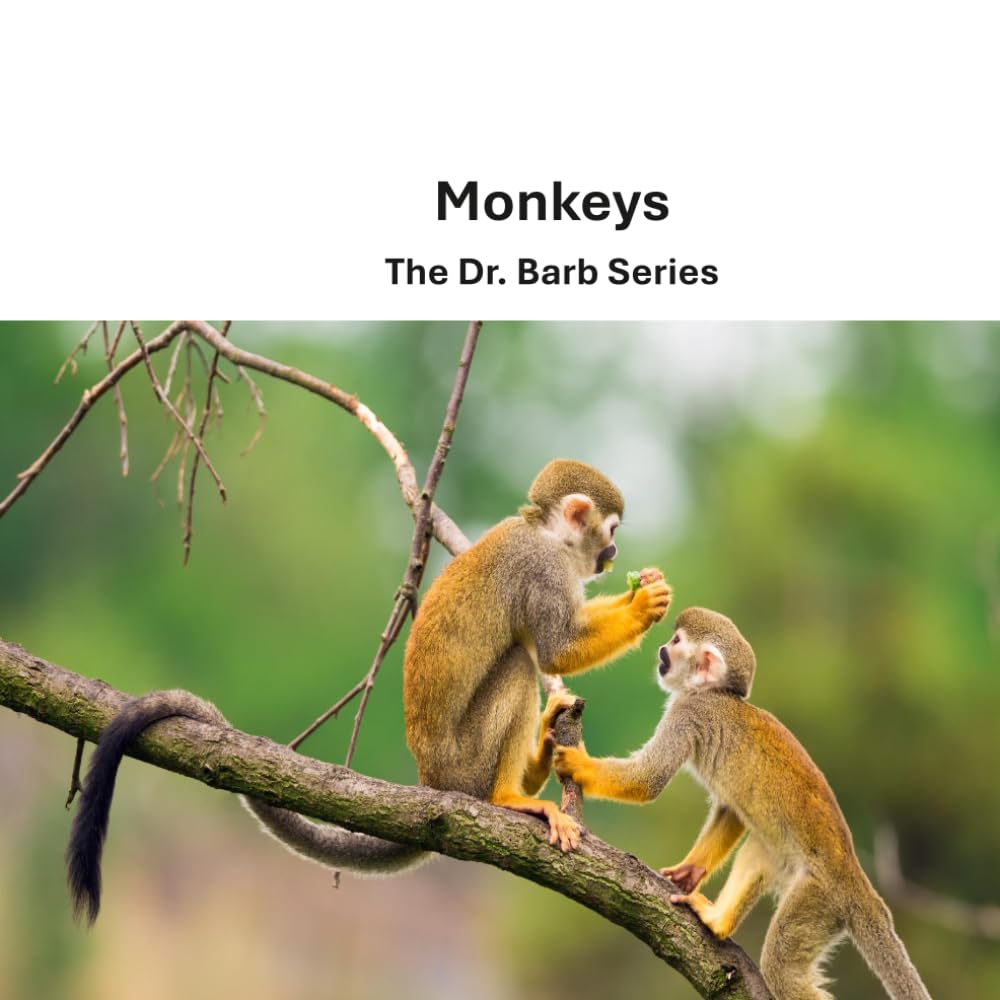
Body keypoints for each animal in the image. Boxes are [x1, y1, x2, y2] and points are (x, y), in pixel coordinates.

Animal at [67, 459, 672, 924]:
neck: (546, 535)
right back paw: (510, 796)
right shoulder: (542, 569)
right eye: (611, 530)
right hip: (466, 763)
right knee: (520, 665)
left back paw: (543, 750)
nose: (614, 554)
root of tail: (432, 782)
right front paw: (643, 604)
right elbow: (553, 649)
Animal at [553, 607, 931, 1000]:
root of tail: (856, 881)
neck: (713, 693)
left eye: (675, 642)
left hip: (820, 899)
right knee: (760, 849)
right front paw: (690, 872)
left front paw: (576, 763)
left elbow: (648, 780)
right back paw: (719, 922)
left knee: (781, 967)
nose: (660, 651)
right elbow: (731, 810)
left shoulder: (688, 713)